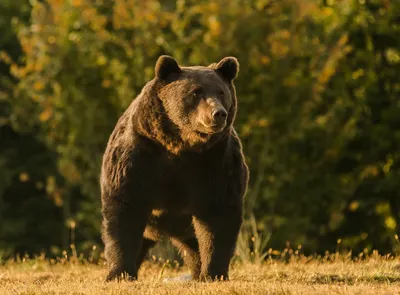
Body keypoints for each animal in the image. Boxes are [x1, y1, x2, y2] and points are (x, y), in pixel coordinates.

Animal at [100, 55, 248, 282]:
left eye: (221, 92)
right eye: (196, 92)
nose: (218, 114)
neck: (181, 145)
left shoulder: (216, 163)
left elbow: (218, 215)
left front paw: (213, 273)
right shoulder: (138, 157)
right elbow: (124, 210)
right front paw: (119, 273)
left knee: (194, 245)